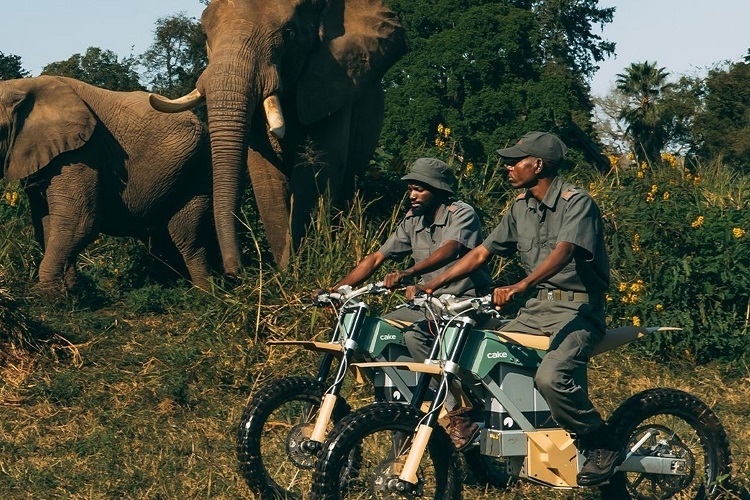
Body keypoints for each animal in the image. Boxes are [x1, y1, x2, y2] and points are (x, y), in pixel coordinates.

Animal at [0, 75, 217, 292]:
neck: (20, 86)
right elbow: (45, 222)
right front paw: (70, 289)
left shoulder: (83, 151)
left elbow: (79, 221)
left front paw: (46, 295)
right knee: (162, 239)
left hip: (197, 171)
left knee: (187, 237)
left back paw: (203, 293)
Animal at [150, 0, 408, 274]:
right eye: (206, 36)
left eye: (289, 33)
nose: (235, 270)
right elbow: (267, 176)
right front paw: (284, 272)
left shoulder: (332, 82)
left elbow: (316, 171)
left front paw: (293, 269)